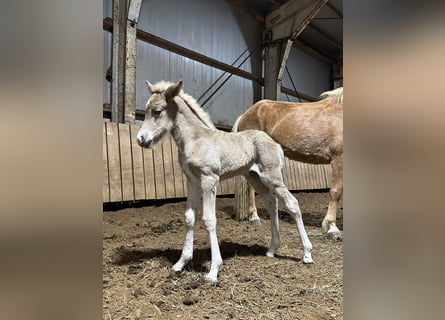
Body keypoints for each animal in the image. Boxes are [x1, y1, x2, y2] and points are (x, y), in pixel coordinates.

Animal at [135, 80, 312, 282]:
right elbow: (189, 218)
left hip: (272, 176)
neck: (196, 140)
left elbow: (209, 219)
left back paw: (307, 254)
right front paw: (181, 263)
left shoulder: (209, 179)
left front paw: (213, 271)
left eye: (157, 111)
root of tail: (275, 144)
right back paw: (272, 249)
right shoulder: (192, 181)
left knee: (292, 203)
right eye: (145, 109)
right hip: (255, 177)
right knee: (271, 202)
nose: (140, 139)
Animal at [232, 88, 344, 240]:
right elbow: (336, 191)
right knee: (251, 187)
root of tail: (245, 114)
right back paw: (254, 217)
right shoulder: (338, 158)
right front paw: (332, 228)